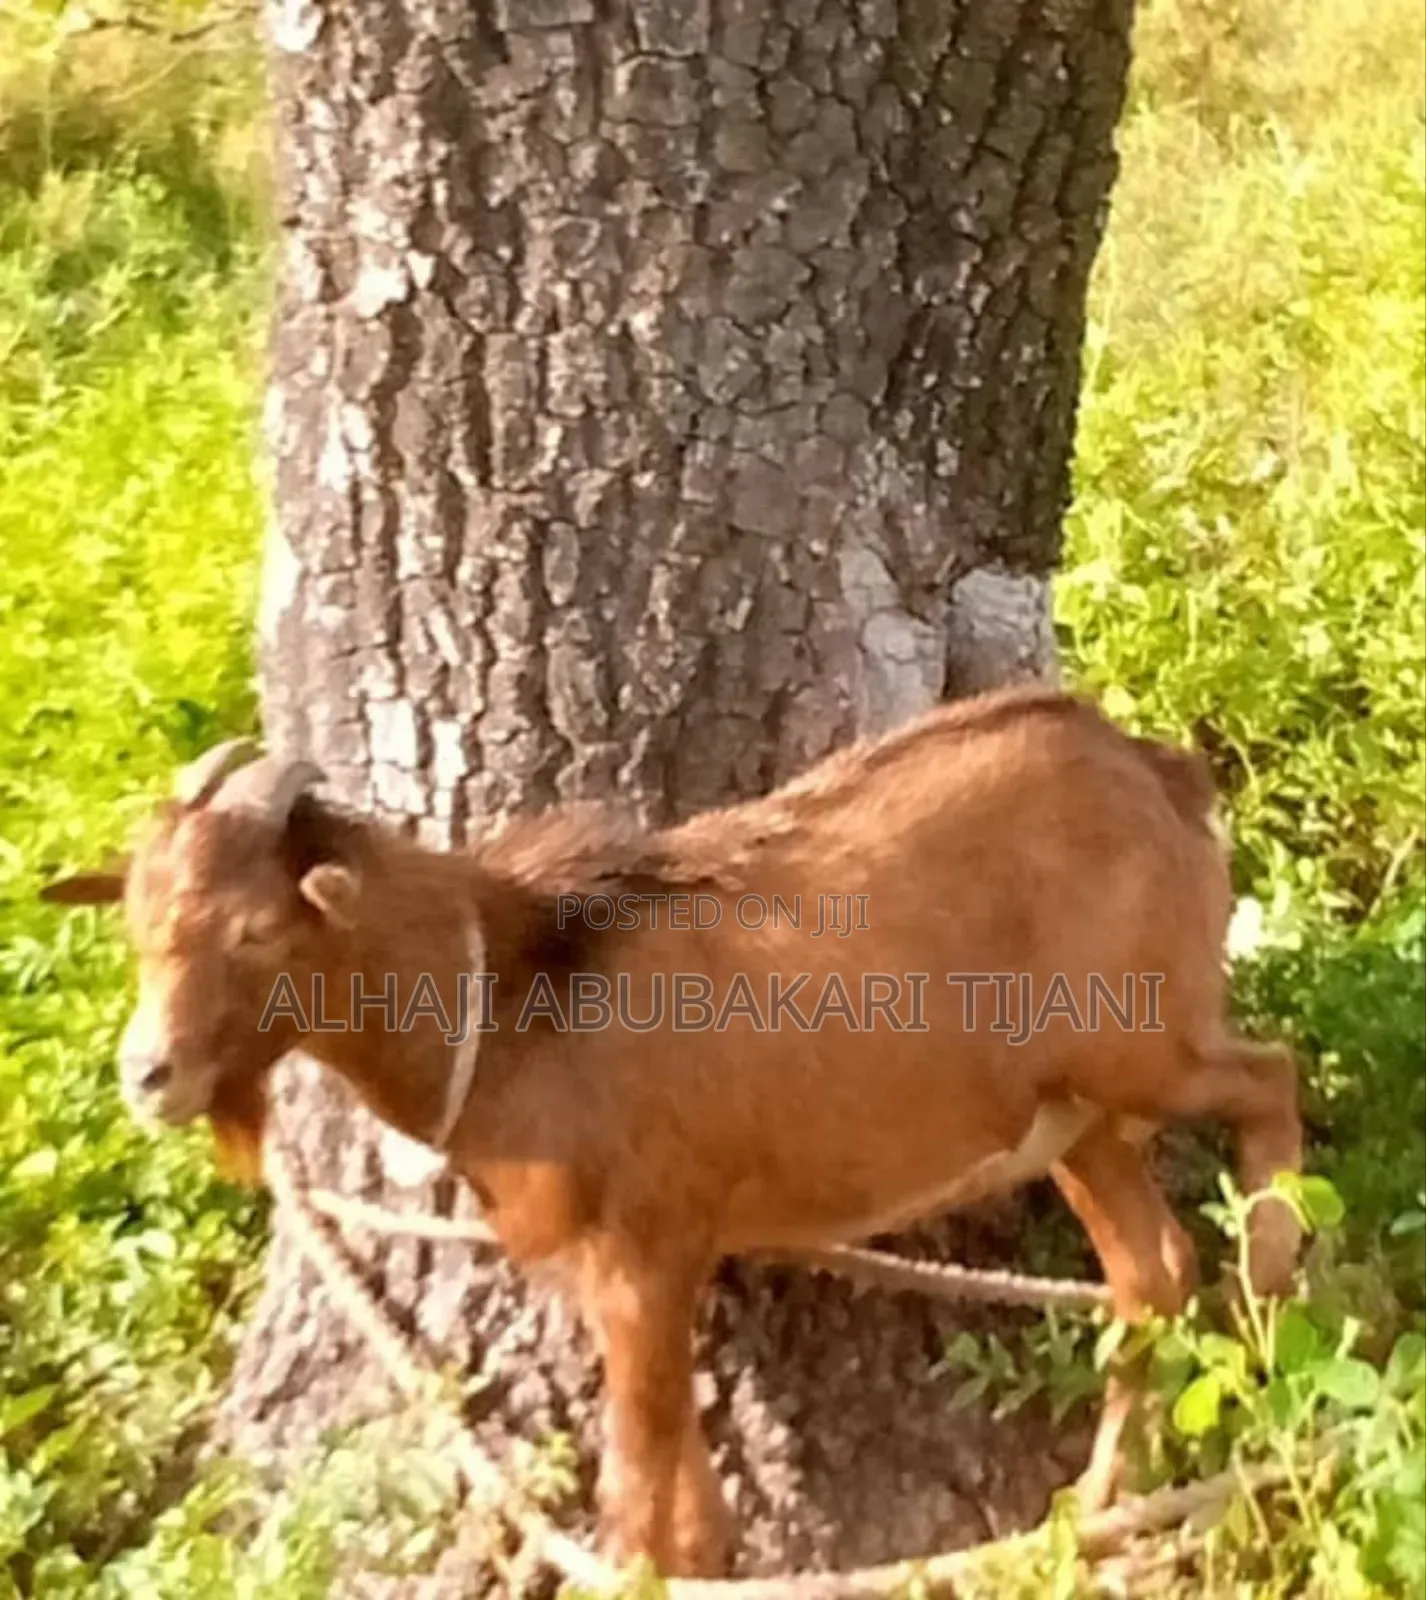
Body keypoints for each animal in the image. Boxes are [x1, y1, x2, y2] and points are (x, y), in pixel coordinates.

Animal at [40, 685, 1303, 1577]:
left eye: (256, 932)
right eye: (137, 925)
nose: (147, 1075)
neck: (514, 999)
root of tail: (1161, 771)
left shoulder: (646, 1249)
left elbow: (632, 1501)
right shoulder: (619, 1270)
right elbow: (683, 1503)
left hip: (1138, 1041)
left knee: (1266, 1081)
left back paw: (1278, 1285)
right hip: (1067, 1116)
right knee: (1149, 1272)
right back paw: (1096, 1507)